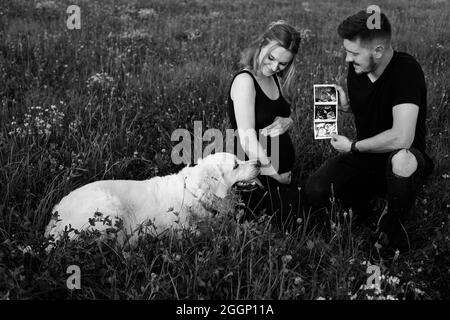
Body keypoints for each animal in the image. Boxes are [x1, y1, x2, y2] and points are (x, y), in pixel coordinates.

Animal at [44, 152, 260, 245]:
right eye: (236, 165)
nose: (258, 162)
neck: (196, 194)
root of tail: (55, 214)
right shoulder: (183, 232)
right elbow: (203, 233)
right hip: (108, 210)